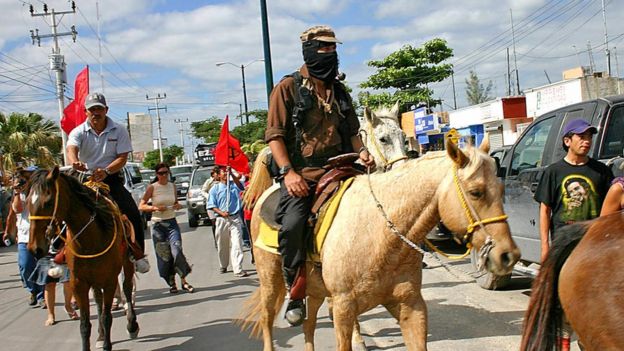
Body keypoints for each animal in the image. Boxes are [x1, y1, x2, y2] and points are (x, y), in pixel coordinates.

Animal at [26, 168, 138, 351]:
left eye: (48, 202)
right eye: (27, 202)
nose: (35, 248)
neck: (91, 238)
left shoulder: (109, 281)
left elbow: (107, 316)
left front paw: (108, 345)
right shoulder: (78, 283)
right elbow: (85, 324)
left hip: (126, 263)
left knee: (127, 288)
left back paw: (132, 325)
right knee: (99, 300)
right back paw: (100, 335)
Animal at [241, 139, 520, 350]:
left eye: (501, 188)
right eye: (476, 192)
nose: (508, 255)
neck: (382, 235)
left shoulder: (410, 305)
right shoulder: (343, 308)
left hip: (314, 290)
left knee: (309, 326)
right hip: (271, 282)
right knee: (267, 318)